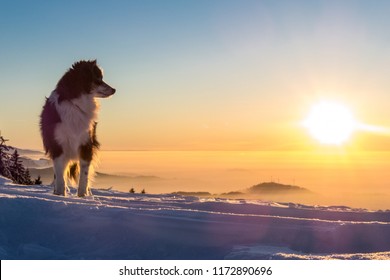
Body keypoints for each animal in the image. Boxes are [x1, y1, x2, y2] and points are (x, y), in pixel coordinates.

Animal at [40, 60, 115, 197]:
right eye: (97, 79)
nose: (114, 90)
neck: (74, 104)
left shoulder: (86, 144)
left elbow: (84, 176)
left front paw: (82, 196)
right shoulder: (58, 145)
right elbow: (60, 176)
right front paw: (60, 195)